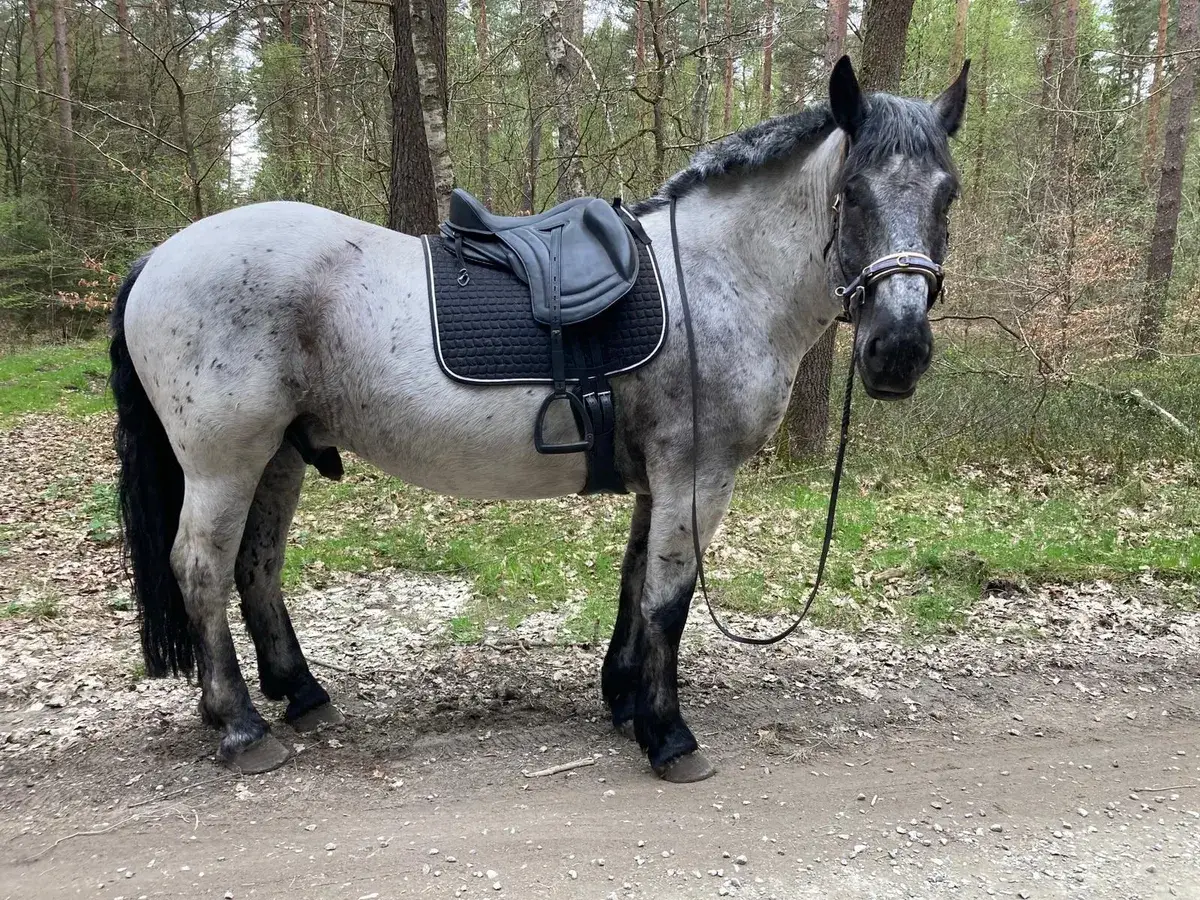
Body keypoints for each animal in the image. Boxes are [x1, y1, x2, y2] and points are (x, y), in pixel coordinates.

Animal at [108, 57, 968, 782]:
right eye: (852, 192)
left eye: (947, 192)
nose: (898, 350)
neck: (717, 278)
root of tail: (158, 259)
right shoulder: (696, 475)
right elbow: (670, 599)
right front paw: (669, 735)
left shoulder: (659, 479)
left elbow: (635, 586)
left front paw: (623, 700)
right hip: (224, 462)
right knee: (203, 569)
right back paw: (240, 726)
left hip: (279, 457)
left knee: (257, 567)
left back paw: (301, 693)